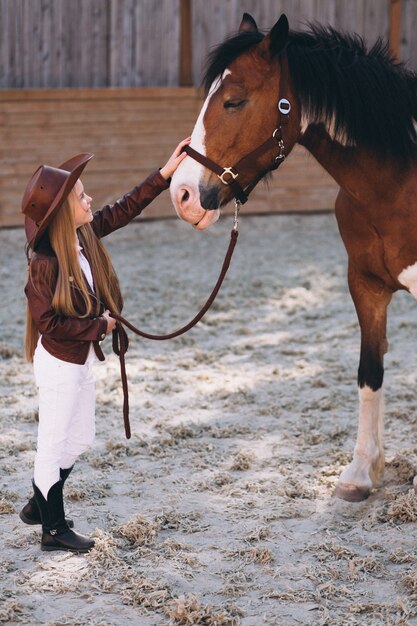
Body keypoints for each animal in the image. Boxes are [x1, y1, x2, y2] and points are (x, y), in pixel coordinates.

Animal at [169, 12, 416, 500]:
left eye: (234, 101)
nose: (182, 194)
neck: (399, 182)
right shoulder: (366, 286)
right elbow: (370, 371)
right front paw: (362, 471)